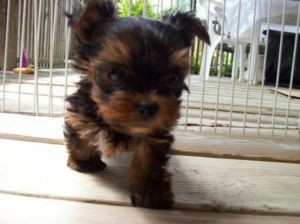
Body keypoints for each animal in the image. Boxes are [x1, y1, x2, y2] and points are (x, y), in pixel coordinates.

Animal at [63, 0, 209, 208]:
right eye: (115, 75)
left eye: (172, 78)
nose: (148, 107)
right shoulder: (82, 110)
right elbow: (81, 130)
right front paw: (84, 162)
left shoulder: (155, 132)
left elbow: (149, 158)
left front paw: (151, 191)